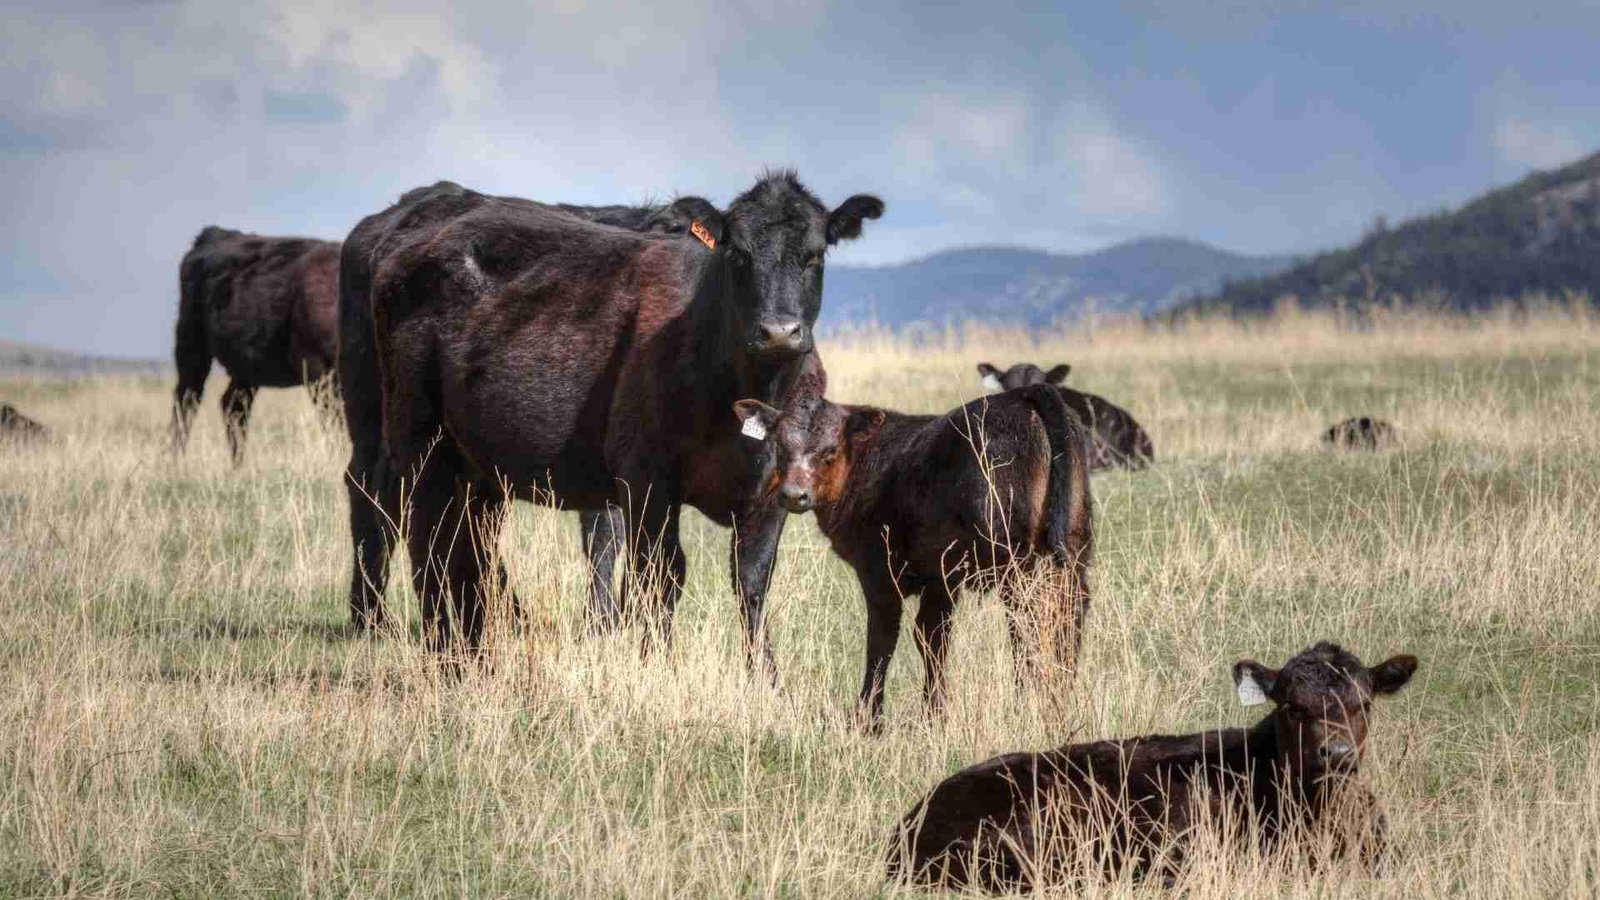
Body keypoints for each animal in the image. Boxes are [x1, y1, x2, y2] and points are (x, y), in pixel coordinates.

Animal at [172, 224, 340, 461]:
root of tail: (215, 234)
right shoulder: (317, 369)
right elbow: (336, 421)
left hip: (247, 367)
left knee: (233, 405)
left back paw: (238, 465)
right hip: (191, 344)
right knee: (187, 400)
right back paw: (177, 460)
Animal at [732, 381, 1088, 717]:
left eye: (830, 451)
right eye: (780, 446)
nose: (794, 495)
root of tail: (1023, 395)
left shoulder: (879, 571)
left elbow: (882, 638)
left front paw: (869, 717)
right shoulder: (941, 577)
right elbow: (933, 636)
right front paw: (933, 712)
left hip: (1015, 561)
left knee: (1028, 623)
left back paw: (1027, 701)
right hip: (1073, 547)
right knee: (1069, 616)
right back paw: (1061, 696)